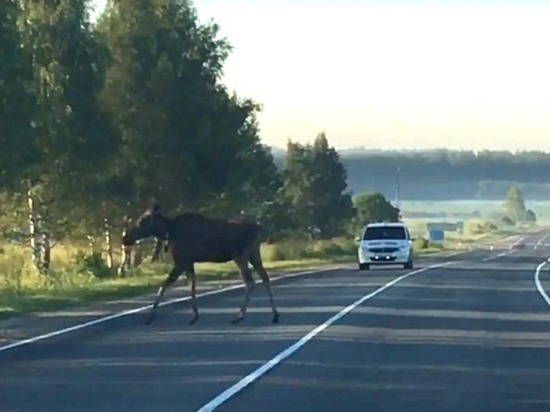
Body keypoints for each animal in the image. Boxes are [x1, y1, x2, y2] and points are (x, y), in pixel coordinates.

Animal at [123, 202, 282, 326]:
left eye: (140, 221)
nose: (126, 238)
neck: (168, 231)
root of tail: (261, 228)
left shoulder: (181, 262)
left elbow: (164, 286)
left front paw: (150, 317)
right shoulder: (189, 262)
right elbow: (192, 287)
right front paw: (195, 316)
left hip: (240, 256)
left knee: (250, 282)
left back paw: (239, 316)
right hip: (254, 255)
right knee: (265, 278)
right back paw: (274, 314)